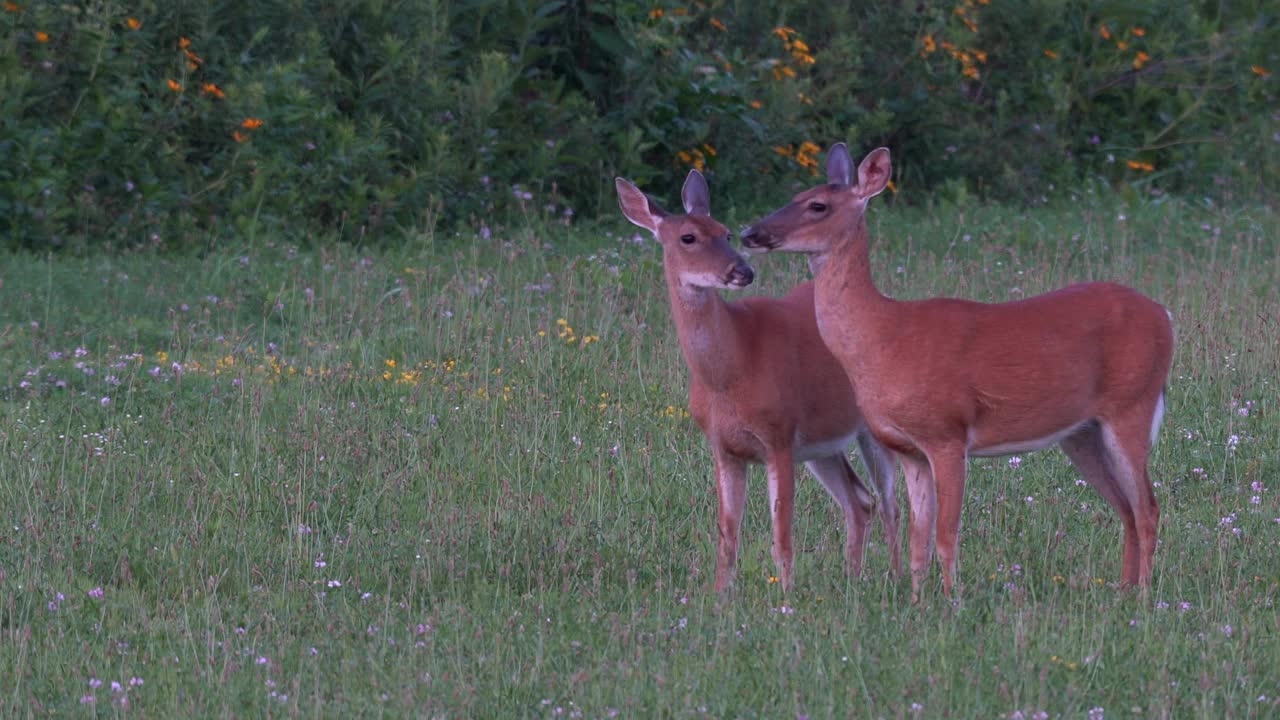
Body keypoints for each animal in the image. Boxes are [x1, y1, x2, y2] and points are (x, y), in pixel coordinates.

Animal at [616, 167, 901, 589]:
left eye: (725, 232)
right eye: (689, 237)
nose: (743, 270)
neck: (731, 372)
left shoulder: (778, 435)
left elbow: (781, 536)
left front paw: (786, 596)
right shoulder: (724, 447)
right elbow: (727, 535)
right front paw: (721, 596)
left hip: (868, 427)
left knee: (892, 504)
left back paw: (897, 579)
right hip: (820, 444)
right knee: (860, 500)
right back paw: (853, 579)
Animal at [747, 142, 1172, 597]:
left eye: (818, 205)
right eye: (795, 195)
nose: (751, 233)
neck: (884, 336)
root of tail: (1164, 315)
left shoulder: (947, 433)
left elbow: (946, 536)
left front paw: (952, 601)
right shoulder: (910, 450)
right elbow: (918, 541)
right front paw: (917, 602)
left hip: (1131, 404)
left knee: (1148, 507)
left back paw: (1144, 597)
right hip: (1082, 432)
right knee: (1126, 508)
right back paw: (1123, 591)